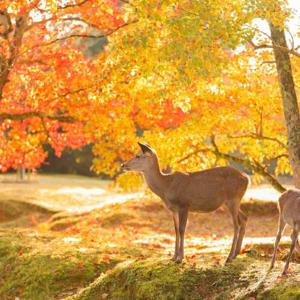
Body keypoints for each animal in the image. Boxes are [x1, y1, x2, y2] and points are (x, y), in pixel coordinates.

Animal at [120, 143, 250, 262]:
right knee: (244, 218)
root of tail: (247, 178)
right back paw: (237, 253)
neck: (166, 186)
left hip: (233, 198)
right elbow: (176, 229)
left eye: (138, 155)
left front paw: (180, 258)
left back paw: (229, 257)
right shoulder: (173, 209)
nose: (123, 165)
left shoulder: (184, 204)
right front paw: (173, 257)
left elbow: (182, 229)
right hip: (232, 202)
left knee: (236, 225)